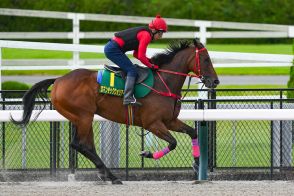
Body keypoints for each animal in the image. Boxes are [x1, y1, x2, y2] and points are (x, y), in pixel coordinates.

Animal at [11, 38, 218, 184]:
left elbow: (192, 132)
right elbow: (173, 143)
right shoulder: (153, 123)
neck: (163, 82)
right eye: (206, 59)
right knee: (78, 144)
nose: (215, 81)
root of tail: (59, 80)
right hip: (83, 116)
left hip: (82, 118)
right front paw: (147, 154)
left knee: (87, 146)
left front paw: (197, 164)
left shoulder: (170, 121)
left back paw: (107, 174)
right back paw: (110, 175)